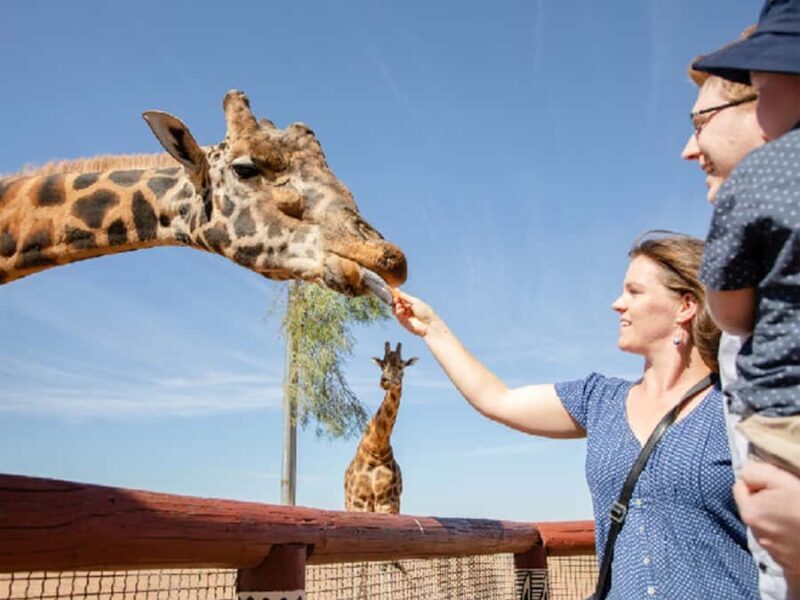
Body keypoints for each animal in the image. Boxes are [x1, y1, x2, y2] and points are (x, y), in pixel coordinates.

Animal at [345, 342, 417, 514]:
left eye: (401, 365)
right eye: (382, 365)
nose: (385, 381)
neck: (377, 446)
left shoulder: (387, 501)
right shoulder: (359, 501)